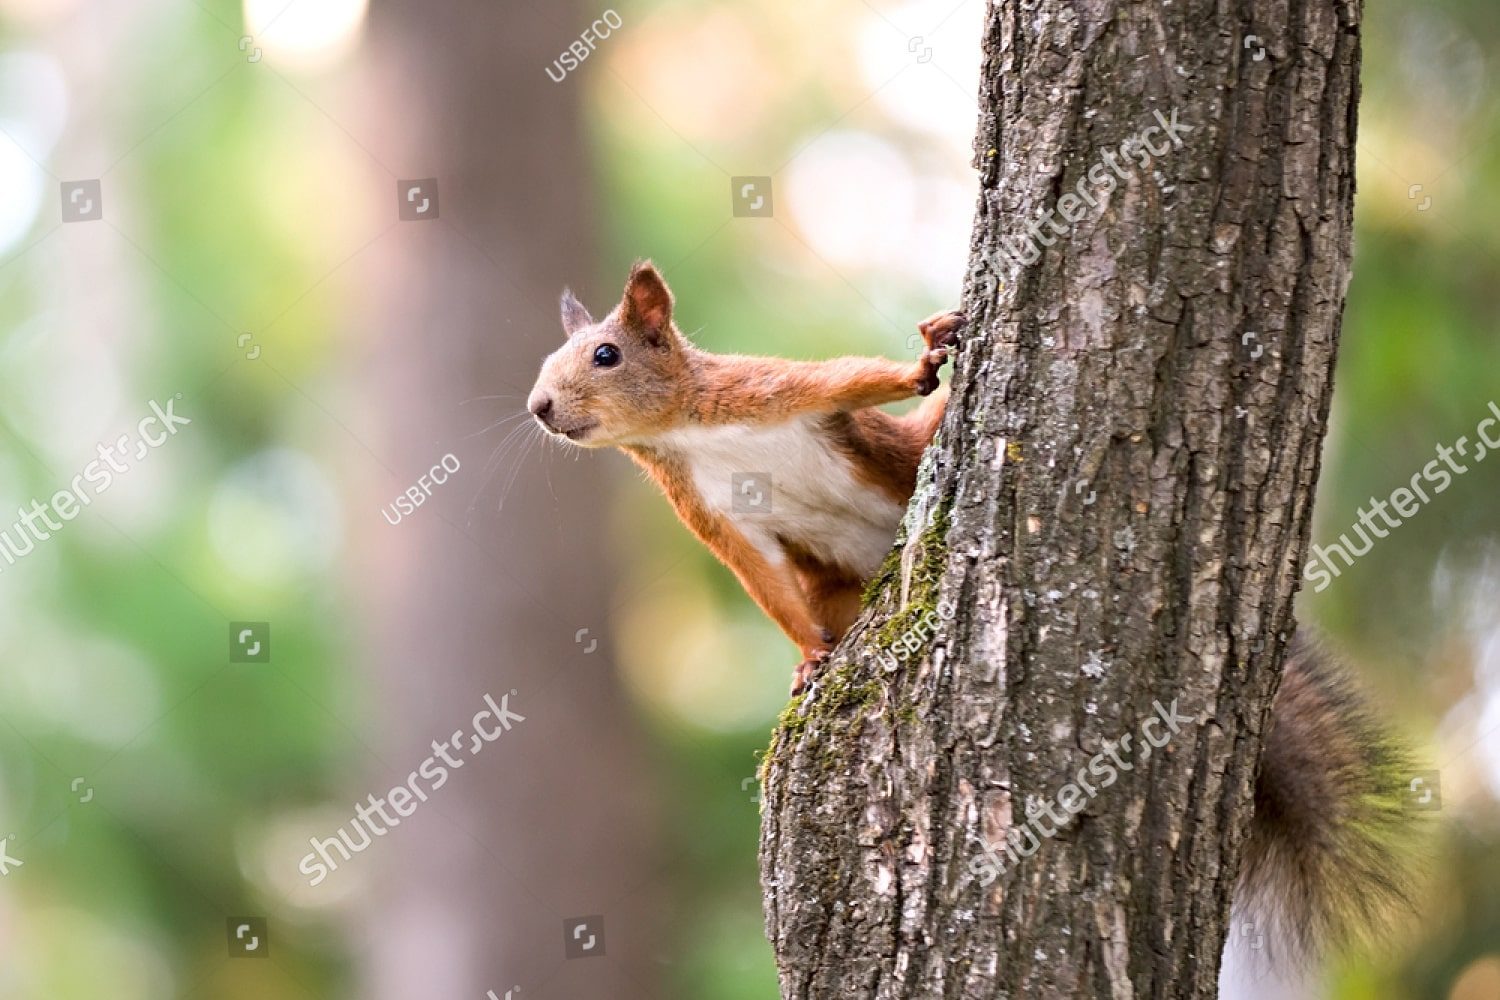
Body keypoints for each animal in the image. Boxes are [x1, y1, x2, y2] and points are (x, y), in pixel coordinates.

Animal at [528, 261, 1416, 964]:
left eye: (605, 353)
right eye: (547, 361)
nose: (539, 406)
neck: (690, 433)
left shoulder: (773, 392)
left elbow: (852, 380)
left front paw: (926, 358)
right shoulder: (715, 519)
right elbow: (767, 586)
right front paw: (811, 659)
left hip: (903, 456)